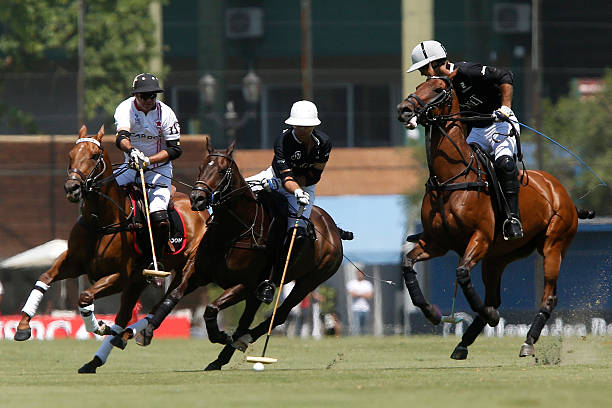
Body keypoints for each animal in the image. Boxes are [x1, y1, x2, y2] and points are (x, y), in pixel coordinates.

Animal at [14, 125, 209, 372]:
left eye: (94, 156)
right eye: (70, 154)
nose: (72, 188)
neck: (100, 221)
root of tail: (204, 210)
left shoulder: (120, 276)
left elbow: (85, 297)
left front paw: (98, 326)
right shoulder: (73, 263)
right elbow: (44, 279)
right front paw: (23, 327)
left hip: (186, 269)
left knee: (168, 298)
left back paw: (134, 334)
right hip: (138, 282)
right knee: (126, 315)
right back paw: (102, 354)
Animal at [113, 136, 344, 370]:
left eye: (222, 170)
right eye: (201, 167)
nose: (197, 198)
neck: (232, 231)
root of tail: (332, 227)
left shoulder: (246, 284)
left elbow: (211, 308)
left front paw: (221, 336)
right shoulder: (197, 272)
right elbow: (173, 295)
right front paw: (147, 331)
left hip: (310, 281)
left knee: (278, 315)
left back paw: (240, 342)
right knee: (247, 320)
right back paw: (224, 355)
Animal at [396, 74, 592, 360]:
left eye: (438, 89)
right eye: (420, 85)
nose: (404, 110)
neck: (449, 179)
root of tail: (561, 192)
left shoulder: (480, 237)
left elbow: (462, 273)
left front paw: (490, 317)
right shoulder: (436, 243)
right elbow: (408, 264)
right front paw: (431, 312)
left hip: (553, 245)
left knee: (549, 296)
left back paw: (527, 341)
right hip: (498, 258)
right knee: (495, 297)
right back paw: (463, 343)